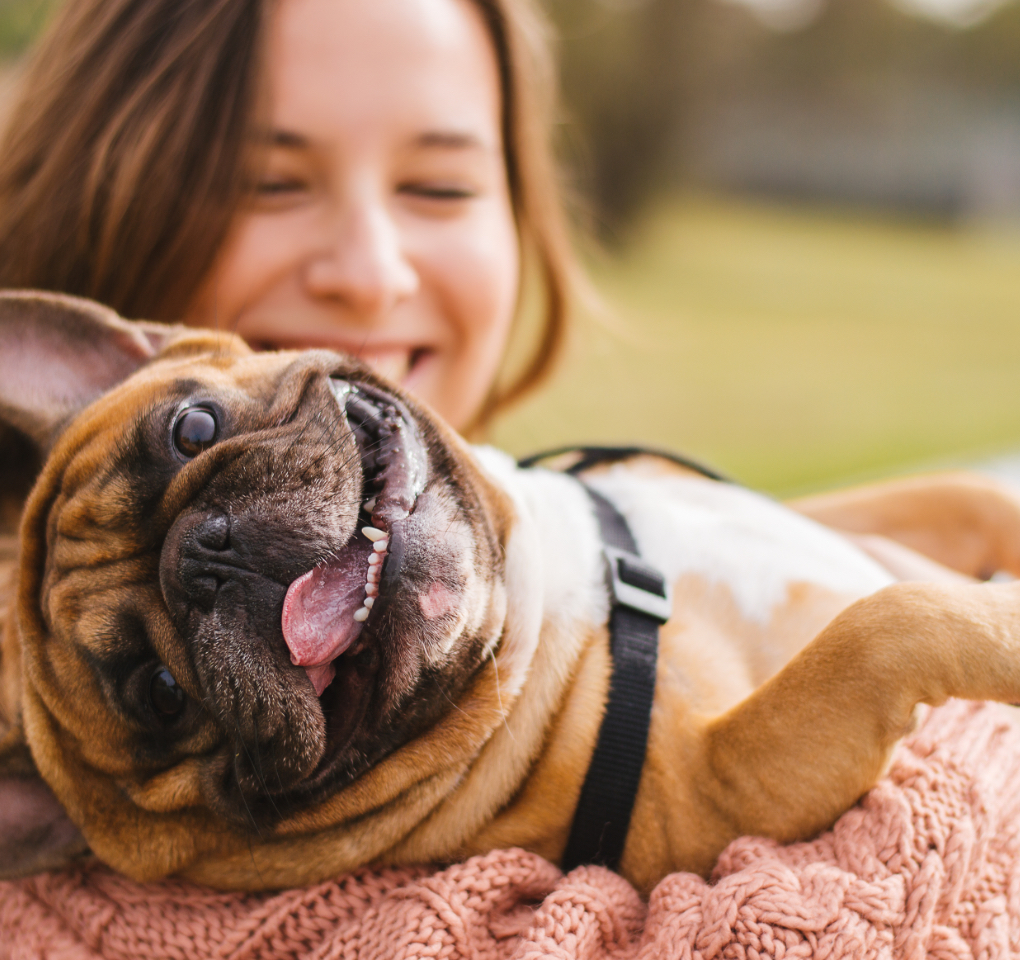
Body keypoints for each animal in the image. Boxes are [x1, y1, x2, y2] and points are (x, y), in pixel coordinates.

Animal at [1, 287, 1020, 893]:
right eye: (160, 694)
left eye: (193, 427)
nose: (207, 556)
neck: (543, 592)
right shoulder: (725, 786)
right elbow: (882, 626)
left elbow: (969, 498)